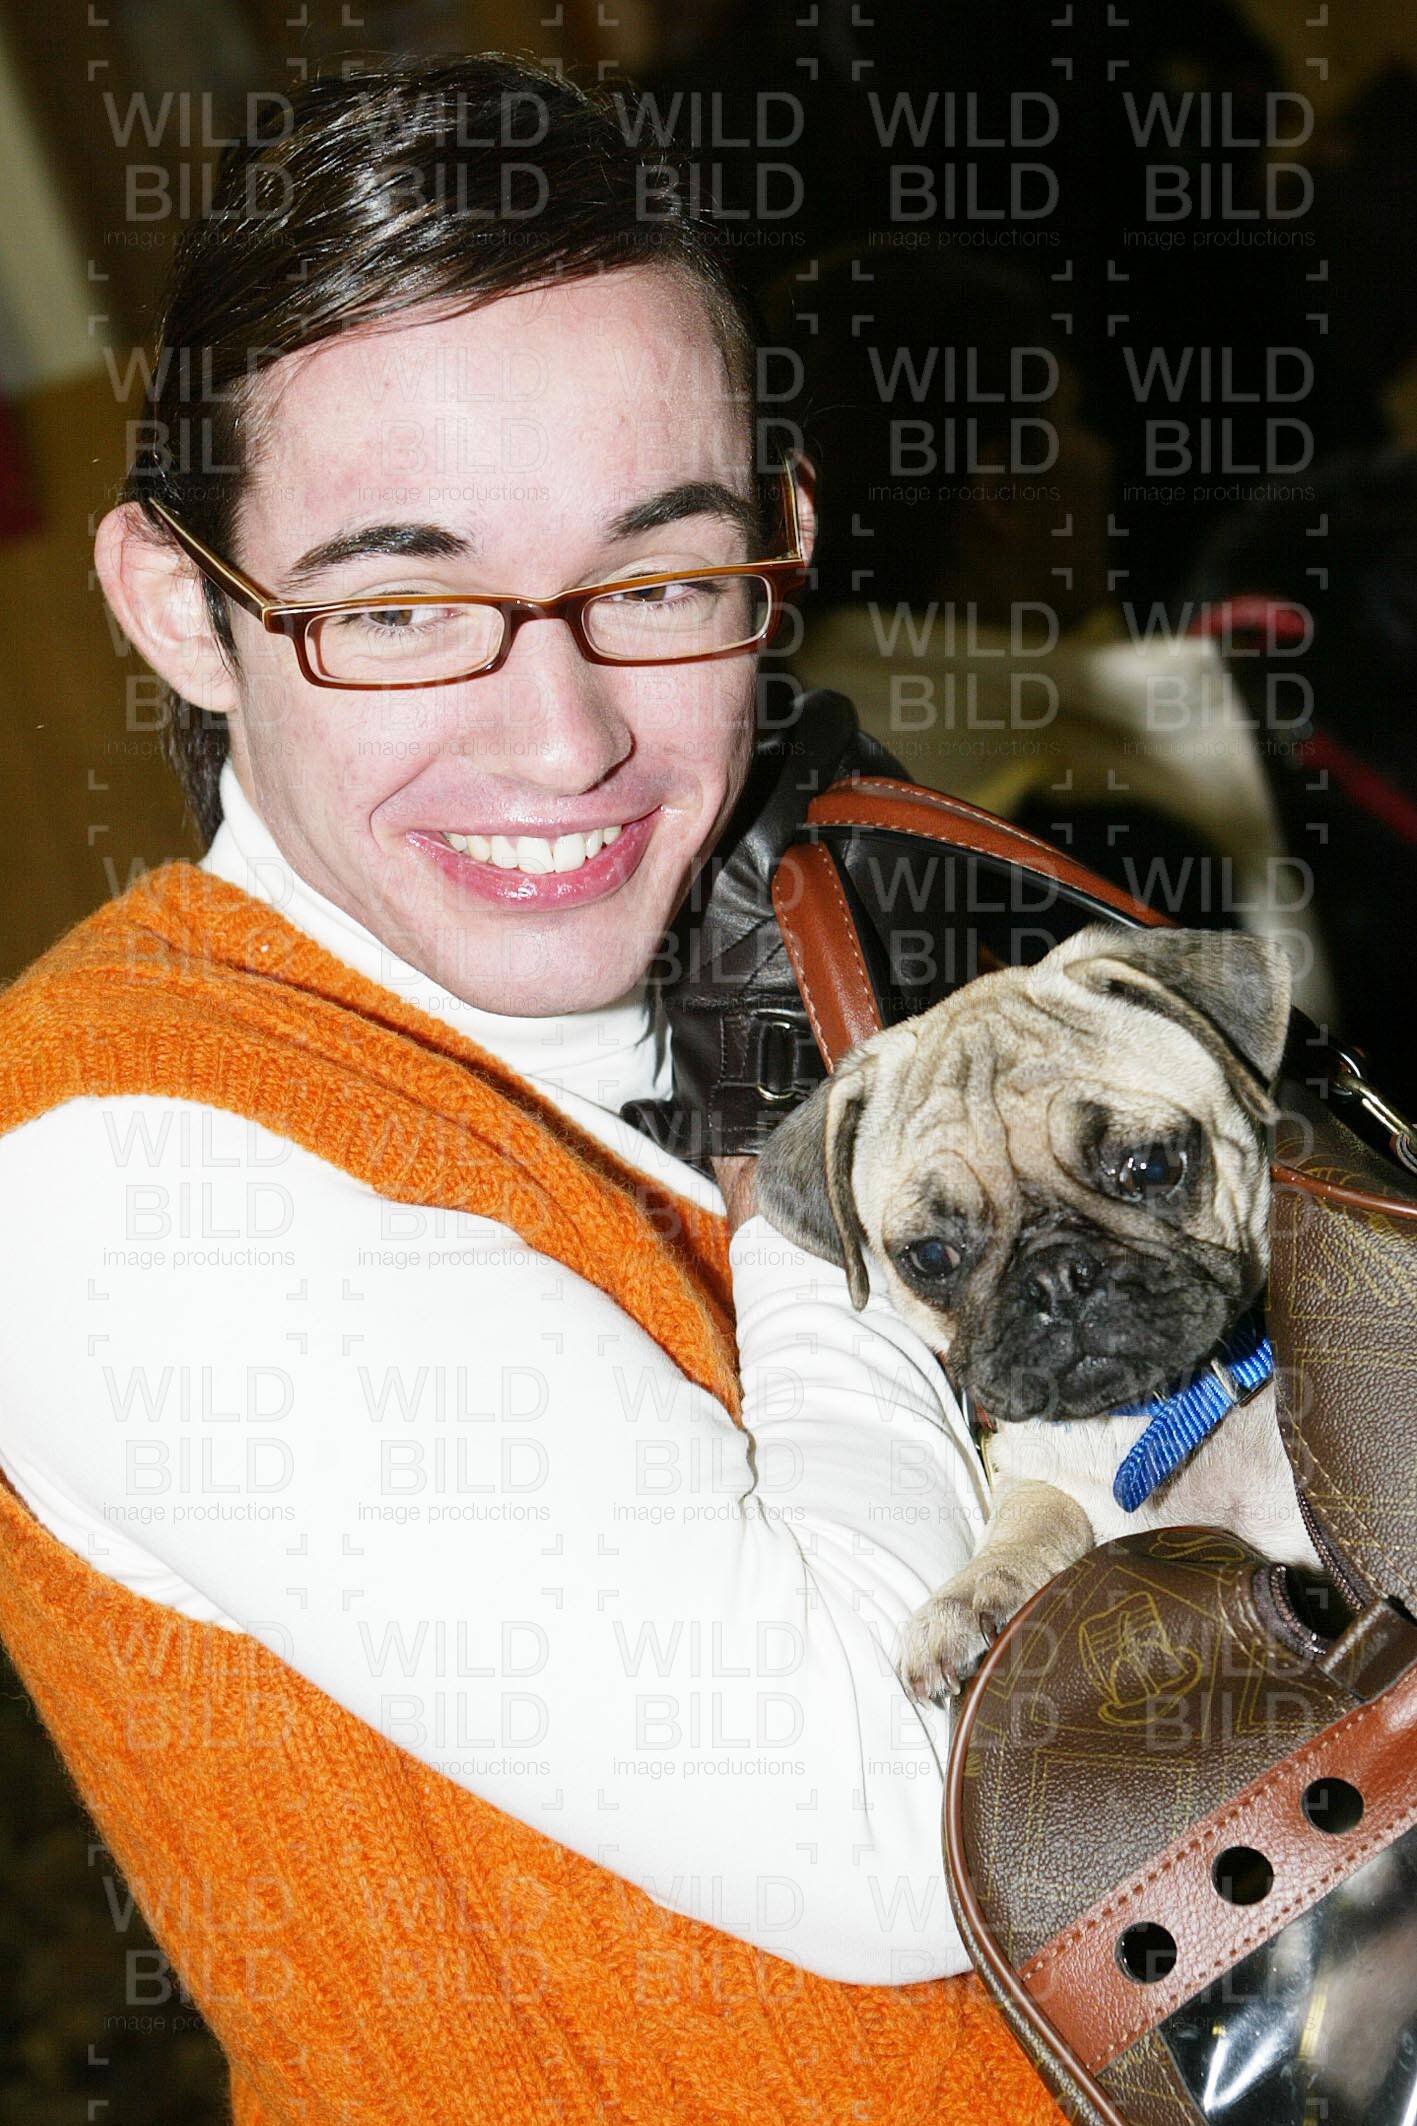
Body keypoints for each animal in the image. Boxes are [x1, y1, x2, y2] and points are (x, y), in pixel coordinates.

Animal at [755, 923, 1320, 1704]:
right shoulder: (1027, 1471)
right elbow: (1030, 1516)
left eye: (1149, 1167)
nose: (1056, 1279)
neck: (1142, 1422)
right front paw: (969, 1594)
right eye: (931, 1256)